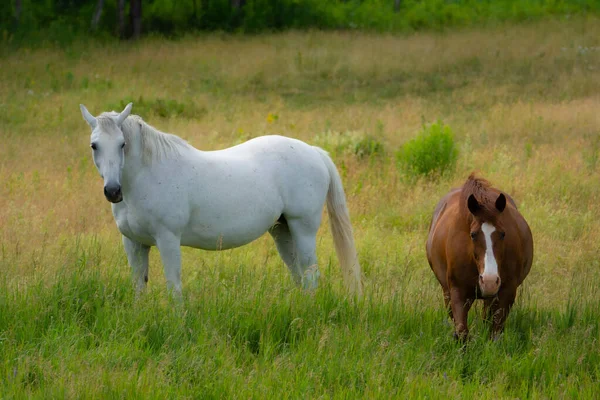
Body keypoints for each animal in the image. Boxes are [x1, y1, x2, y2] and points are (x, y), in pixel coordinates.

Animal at [78, 103, 360, 296]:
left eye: (122, 144)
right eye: (94, 146)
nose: (113, 191)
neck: (147, 175)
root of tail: (313, 151)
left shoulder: (168, 240)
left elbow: (174, 286)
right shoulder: (133, 243)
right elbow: (139, 286)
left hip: (303, 228)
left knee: (311, 275)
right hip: (282, 229)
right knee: (298, 274)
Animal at [426, 173, 536, 340]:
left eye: (503, 234)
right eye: (473, 234)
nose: (489, 281)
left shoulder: (506, 293)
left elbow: (494, 333)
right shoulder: (458, 292)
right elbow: (462, 332)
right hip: (447, 292)